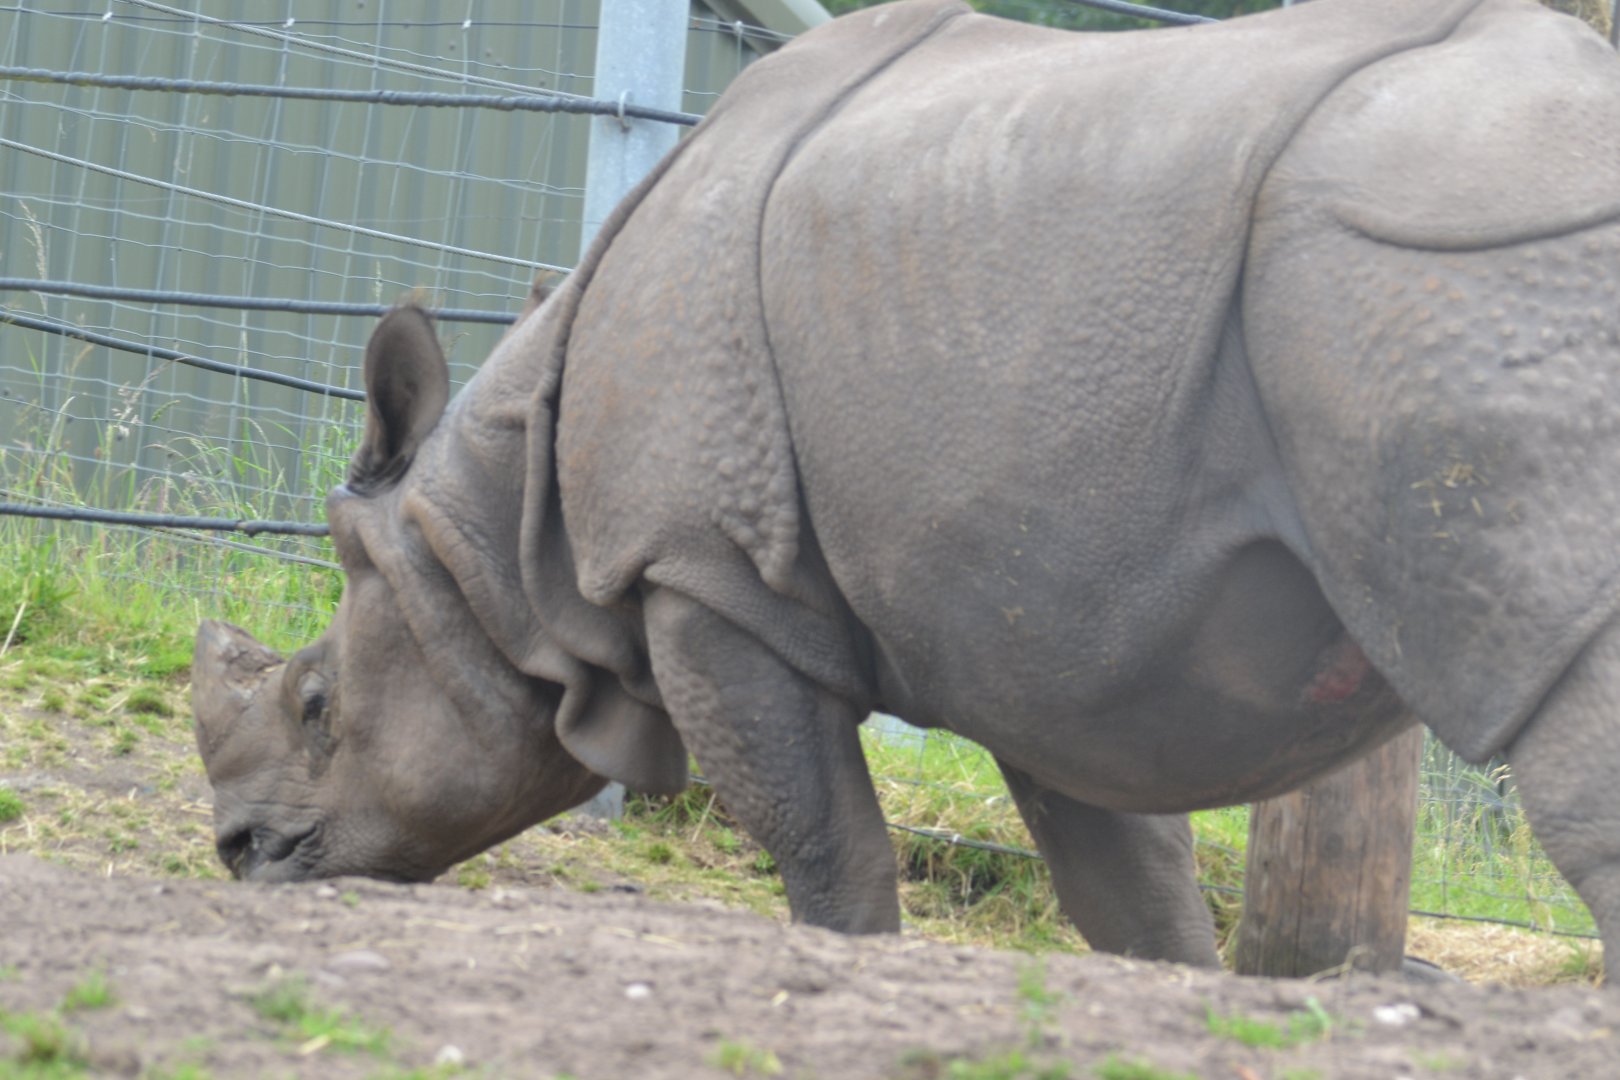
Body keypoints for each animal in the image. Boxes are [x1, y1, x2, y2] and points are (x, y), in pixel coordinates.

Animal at [192, 0, 1620, 969]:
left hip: (1435, 257)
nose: (238, 859)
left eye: (317, 704)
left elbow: (825, 845)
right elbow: (1130, 893)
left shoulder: (704, 575)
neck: (503, 533)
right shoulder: (1053, 620)